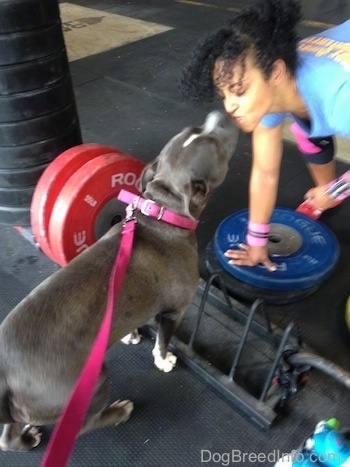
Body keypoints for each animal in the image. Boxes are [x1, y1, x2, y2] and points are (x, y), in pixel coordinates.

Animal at [0, 110, 238, 454]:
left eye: (196, 129)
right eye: (217, 146)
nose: (221, 113)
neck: (162, 211)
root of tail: (6, 379)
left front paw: (131, 335)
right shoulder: (175, 310)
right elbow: (163, 340)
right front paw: (164, 360)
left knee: (7, 436)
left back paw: (26, 438)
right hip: (91, 383)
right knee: (84, 424)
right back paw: (118, 412)